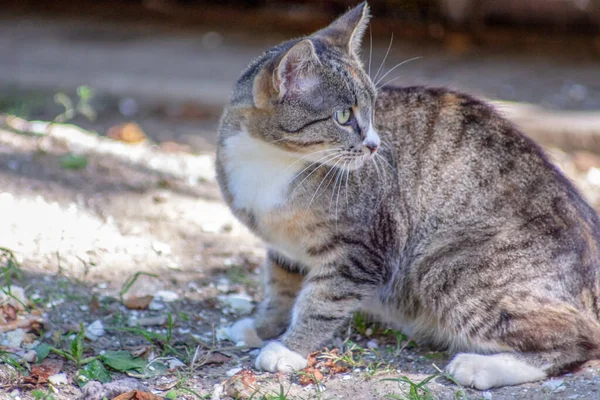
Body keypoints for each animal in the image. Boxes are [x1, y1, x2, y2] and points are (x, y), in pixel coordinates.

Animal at [214, 1, 600, 390]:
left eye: (371, 110)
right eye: (343, 116)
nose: (374, 145)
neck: (272, 160)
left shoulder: (362, 249)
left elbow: (321, 301)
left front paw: (290, 348)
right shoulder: (284, 249)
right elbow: (281, 289)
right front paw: (263, 327)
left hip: (444, 266)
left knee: (582, 339)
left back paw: (481, 366)